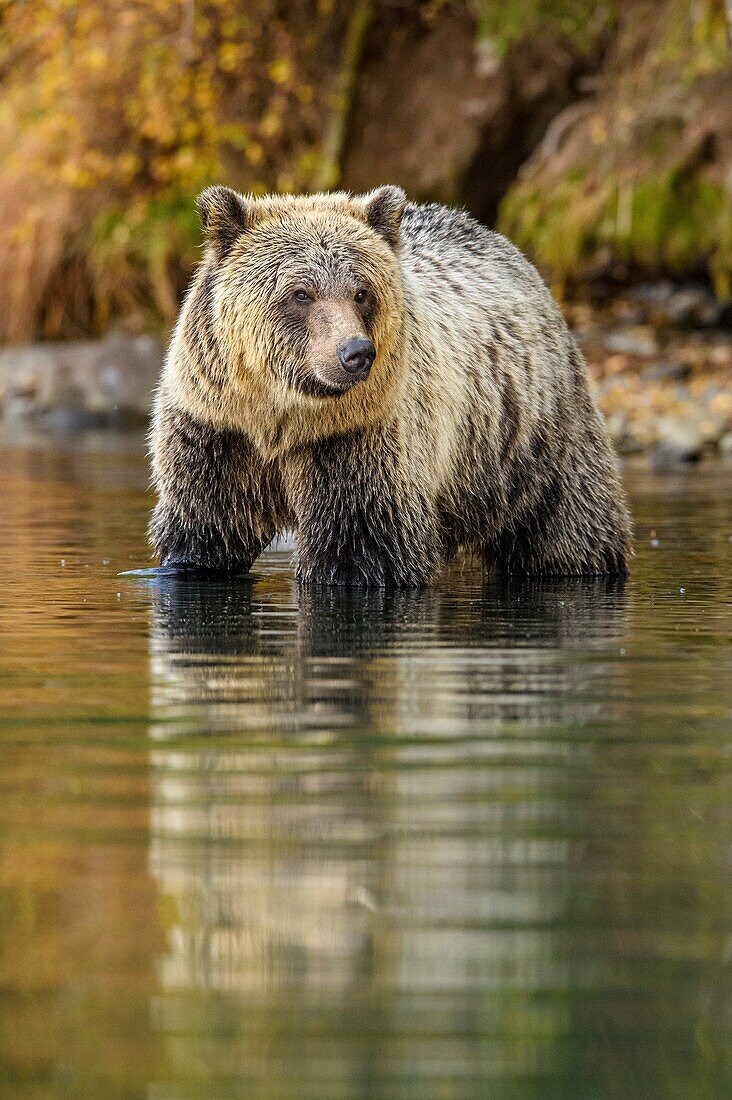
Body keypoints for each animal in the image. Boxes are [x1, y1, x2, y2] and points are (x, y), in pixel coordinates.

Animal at [148, 184, 629, 589]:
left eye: (362, 292)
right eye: (301, 293)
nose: (356, 352)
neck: (284, 415)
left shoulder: (360, 435)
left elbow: (362, 545)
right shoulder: (217, 427)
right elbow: (207, 526)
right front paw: (189, 562)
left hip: (532, 437)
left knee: (568, 525)